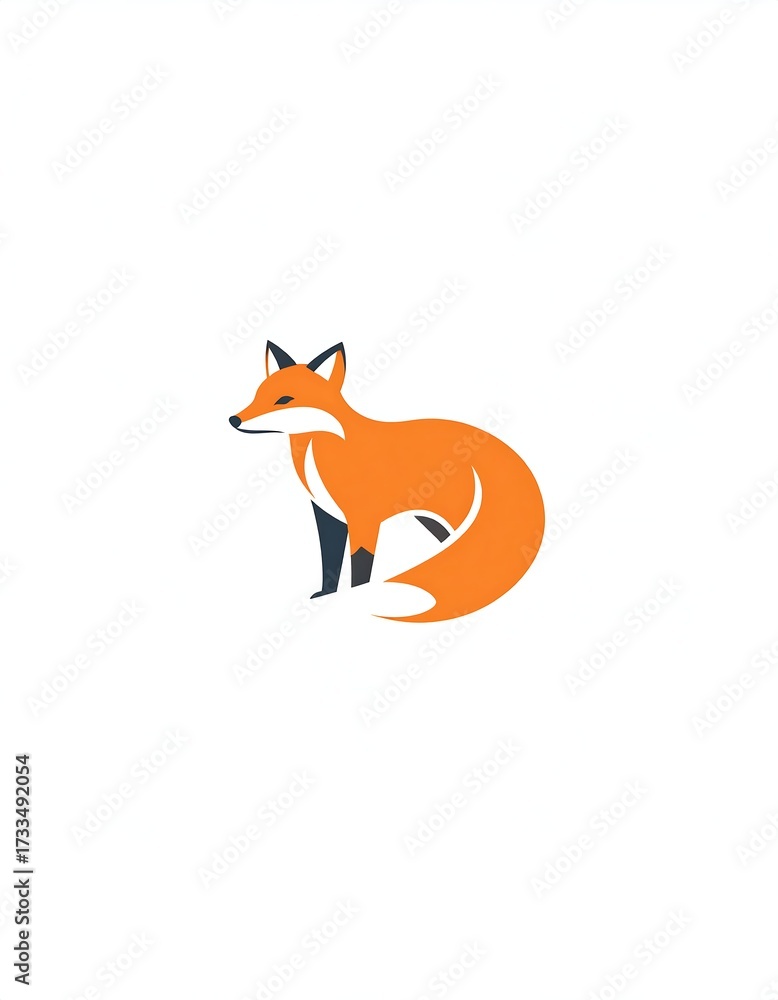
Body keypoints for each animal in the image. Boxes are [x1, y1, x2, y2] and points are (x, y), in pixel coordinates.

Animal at [229, 341, 544, 623]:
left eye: (284, 399)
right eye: (257, 395)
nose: (234, 419)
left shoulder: (363, 519)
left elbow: (360, 567)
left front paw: (356, 598)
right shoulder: (327, 515)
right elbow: (329, 561)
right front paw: (326, 596)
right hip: (437, 525)